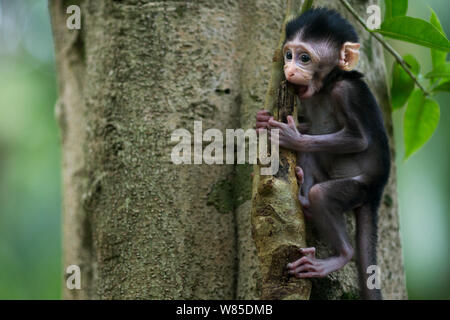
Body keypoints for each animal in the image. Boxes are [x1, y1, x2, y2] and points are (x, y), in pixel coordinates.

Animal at [256, 9, 390, 300]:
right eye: (288, 55)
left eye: (305, 58)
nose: (289, 69)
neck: (327, 86)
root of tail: (377, 190)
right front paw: (262, 120)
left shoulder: (346, 92)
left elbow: (358, 140)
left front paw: (292, 136)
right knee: (310, 163)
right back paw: (303, 192)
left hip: (361, 188)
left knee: (324, 195)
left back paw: (341, 254)